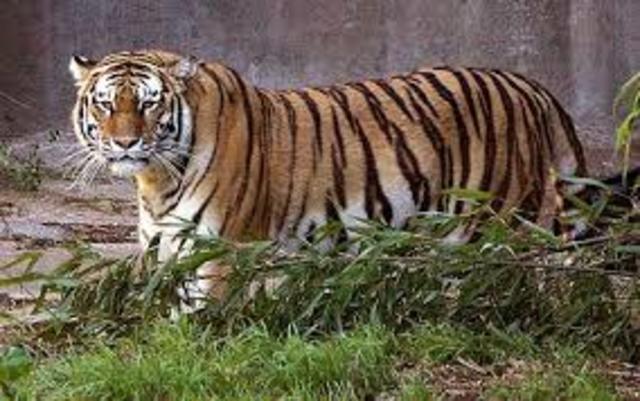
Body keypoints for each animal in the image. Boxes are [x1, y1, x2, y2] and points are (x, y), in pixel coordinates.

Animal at [68, 50, 588, 306]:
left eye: (149, 103)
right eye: (106, 104)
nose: (125, 143)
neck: (156, 179)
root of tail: (531, 86)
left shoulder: (218, 248)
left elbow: (197, 313)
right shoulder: (164, 246)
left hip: (487, 225)